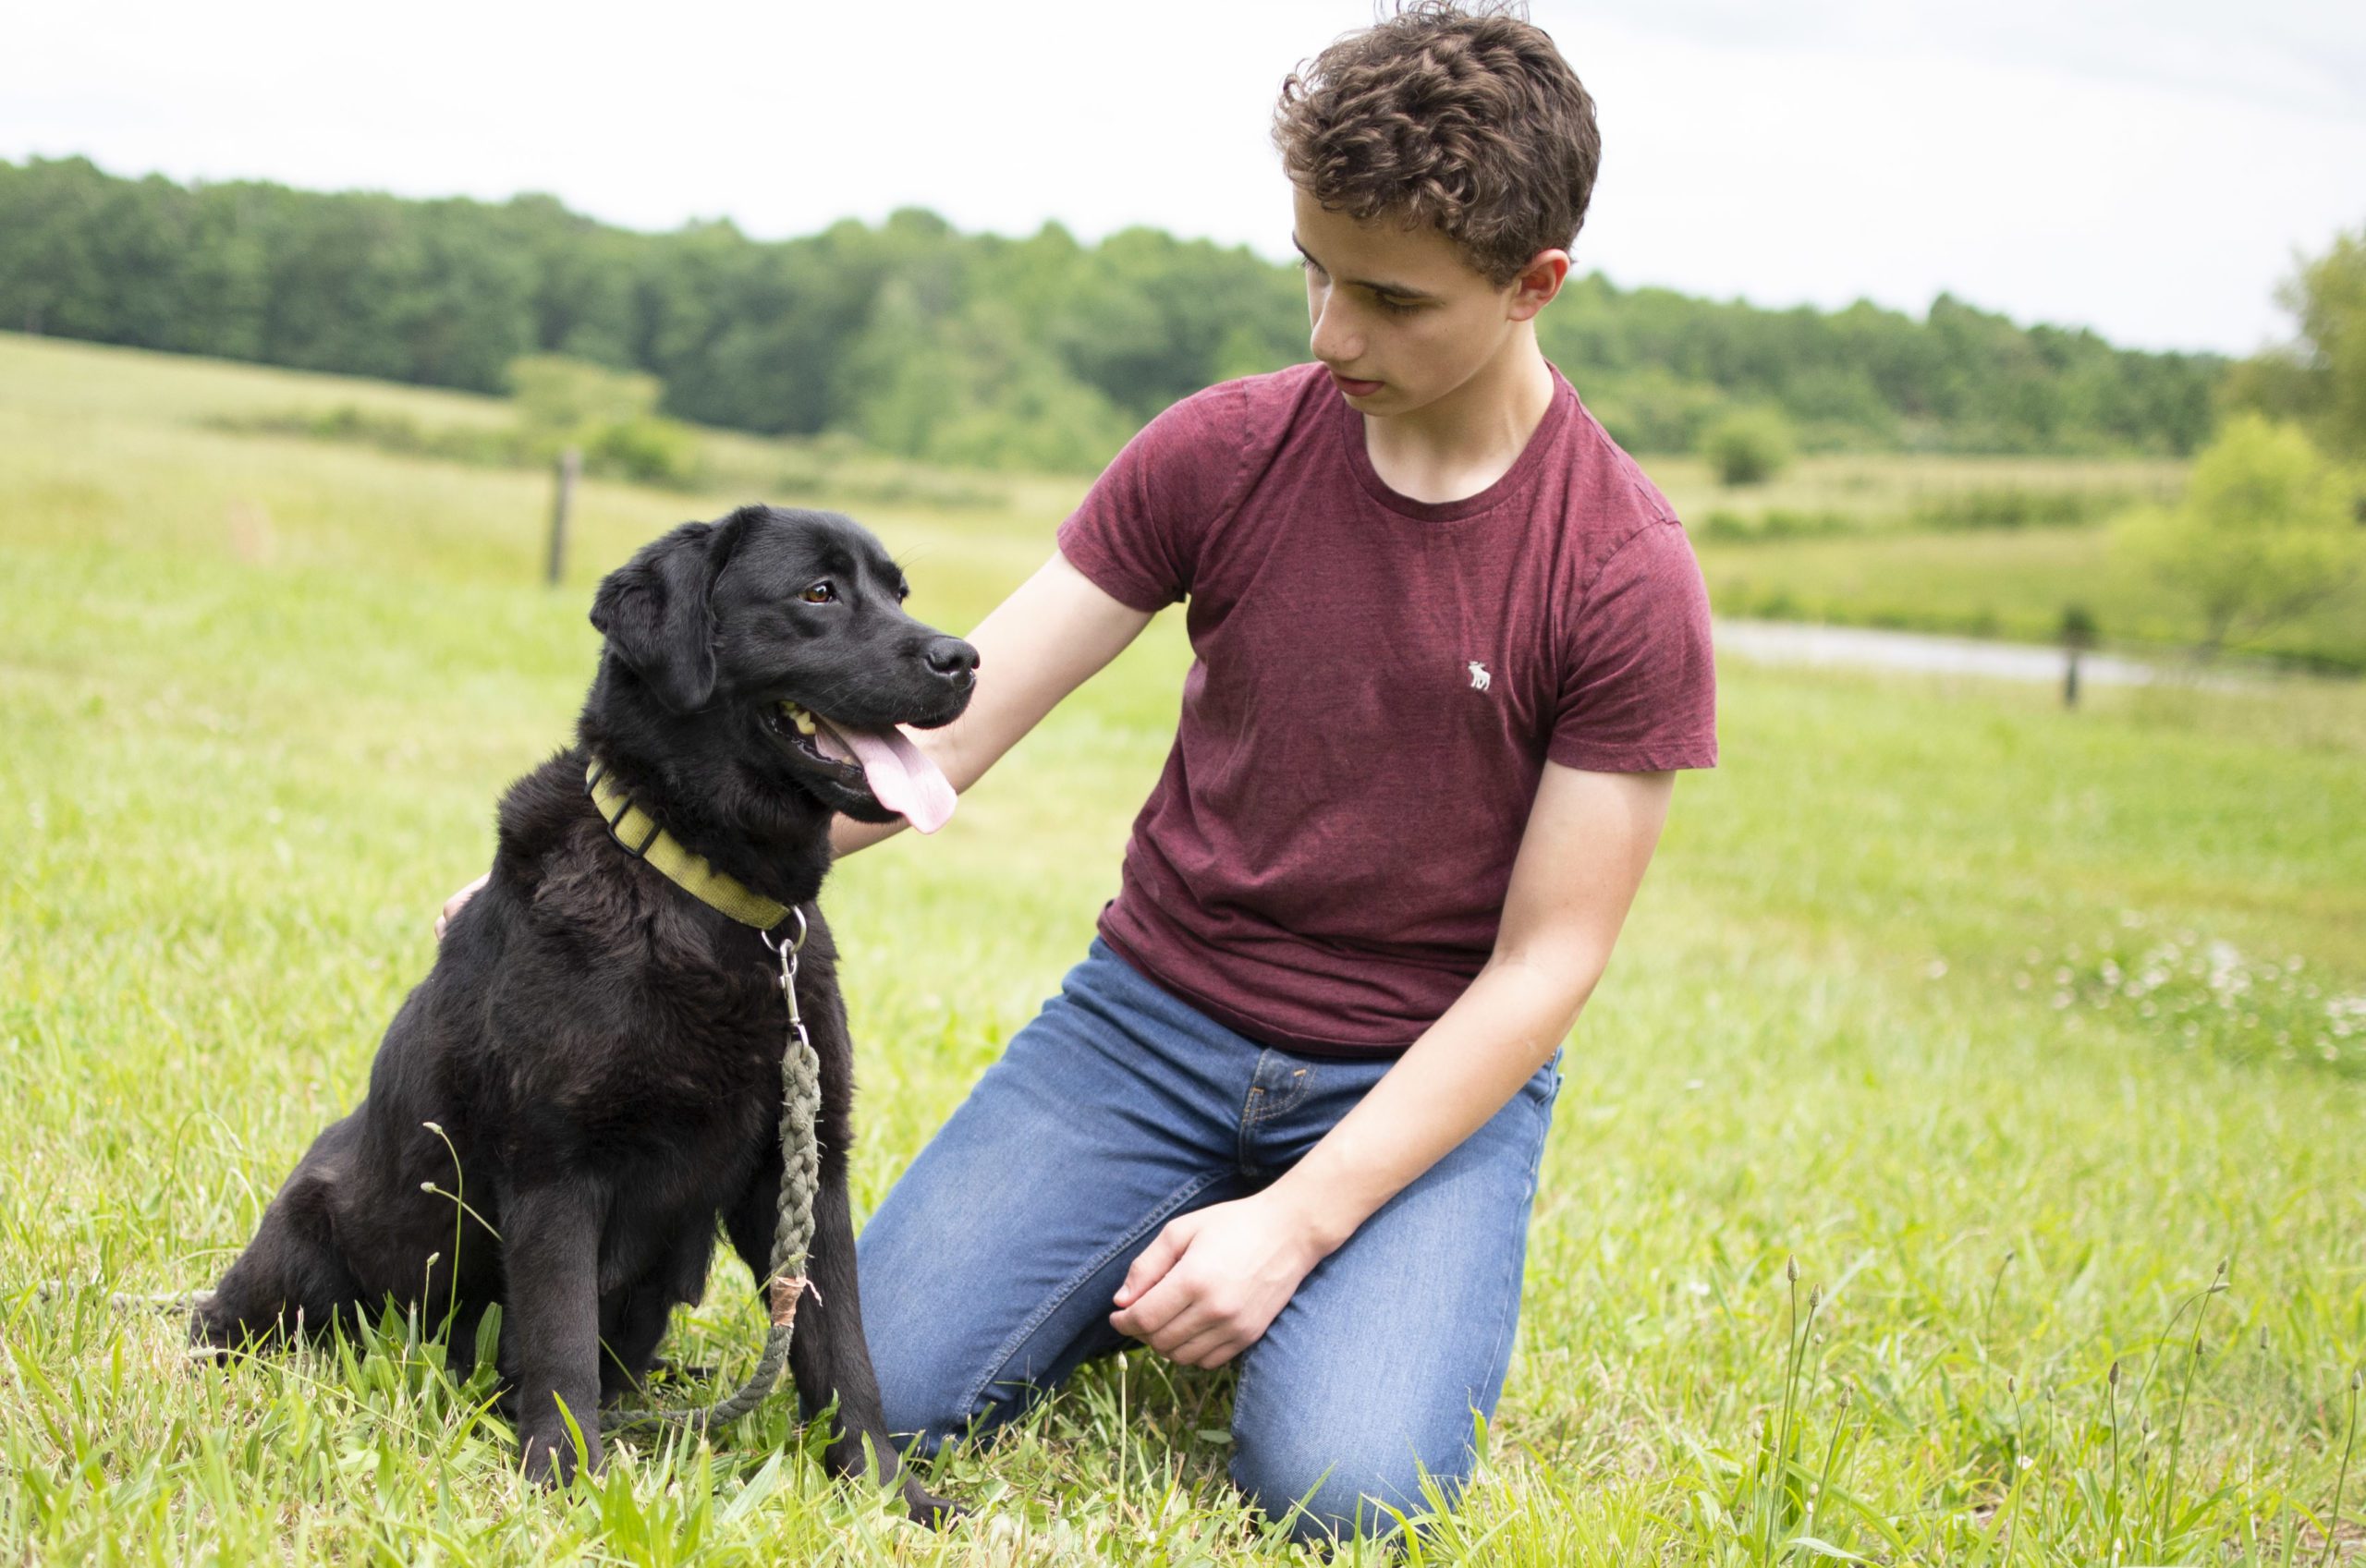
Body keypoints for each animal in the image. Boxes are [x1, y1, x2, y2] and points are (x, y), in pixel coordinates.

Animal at [193, 505, 979, 1523]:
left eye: (898, 591)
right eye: (818, 592)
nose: (964, 658)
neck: (702, 893)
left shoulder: (805, 1167)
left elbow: (840, 1351)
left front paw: (885, 1489)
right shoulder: (558, 1164)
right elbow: (561, 1342)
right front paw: (568, 1482)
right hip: (305, 1237)